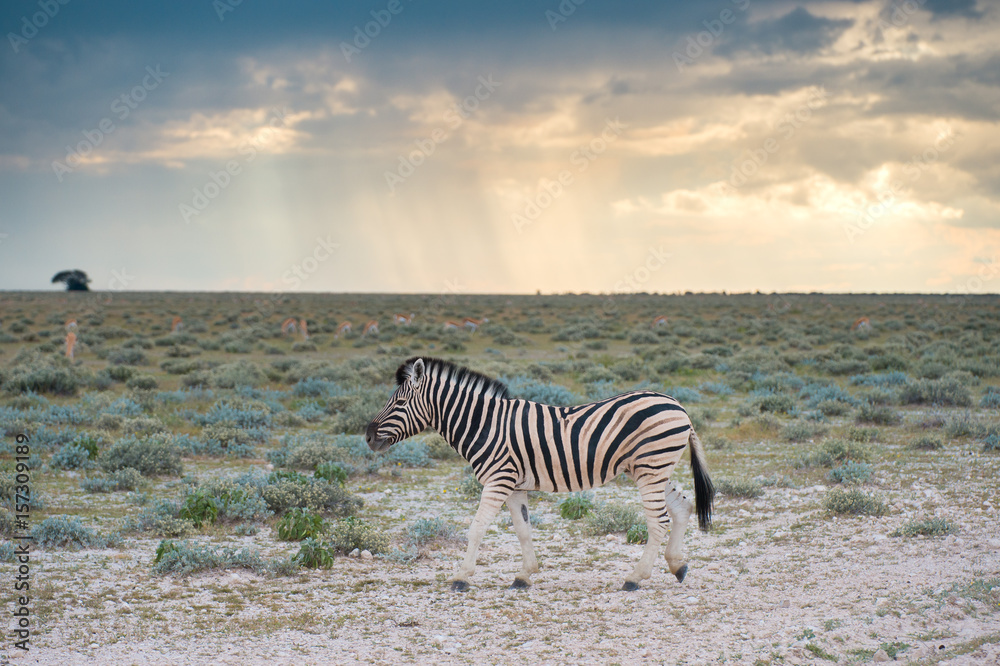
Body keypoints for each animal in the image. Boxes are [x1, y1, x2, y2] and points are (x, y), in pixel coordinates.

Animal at [365, 357, 714, 592]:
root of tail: (677, 404)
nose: (367, 436)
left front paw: (461, 577)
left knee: (658, 521)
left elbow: (477, 528)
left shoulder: (498, 479)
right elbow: (523, 530)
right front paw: (524, 575)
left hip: (650, 468)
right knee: (682, 506)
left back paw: (634, 578)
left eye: (399, 402)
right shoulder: (513, 484)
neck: (483, 424)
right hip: (651, 468)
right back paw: (678, 566)